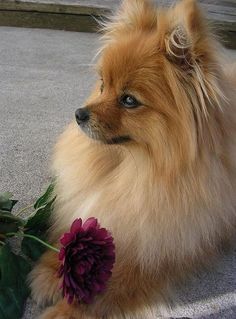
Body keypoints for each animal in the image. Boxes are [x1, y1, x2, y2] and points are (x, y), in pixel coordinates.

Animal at [29, 0, 236, 318]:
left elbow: (109, 284)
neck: (132, 168)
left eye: (129, 100)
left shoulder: (160, 247)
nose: (79, 114)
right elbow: (72, 233)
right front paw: (51, 270)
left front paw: (66, 310)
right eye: (103, 85)